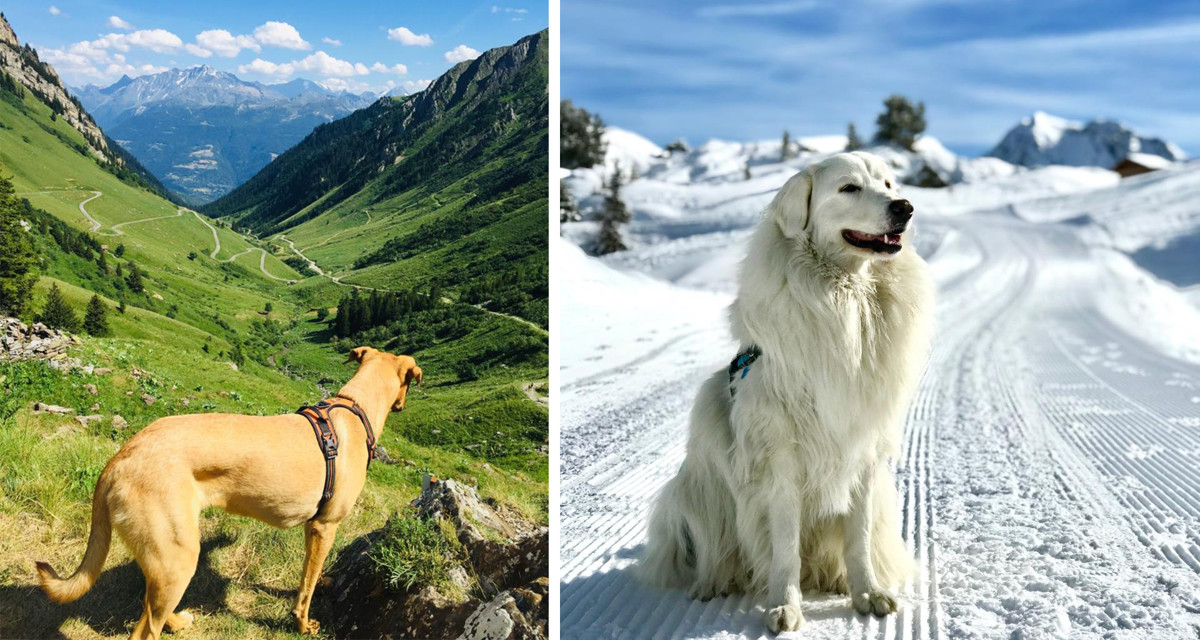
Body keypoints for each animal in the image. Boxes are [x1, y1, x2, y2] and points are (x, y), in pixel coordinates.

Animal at [34, 345, 422, 633]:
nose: (404, 405)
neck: (356, 409)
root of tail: (120, 458)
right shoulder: (323, 527)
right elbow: (306, 588)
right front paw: (303, 624)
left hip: (167, 557)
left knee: (150, 606)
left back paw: (177, 621)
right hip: (179, 556)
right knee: (145, 627)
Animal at [643, 152, 931, 629]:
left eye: (889, 184)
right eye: (849, 188)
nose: (905, 207)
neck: (845, 295)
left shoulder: (863, 453)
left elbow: (858, 538)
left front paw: (867, 593)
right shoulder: (780, 461)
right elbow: (784, 549)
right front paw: (785, 606)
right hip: (695, 483)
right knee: (713, 548)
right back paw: (709, 584)